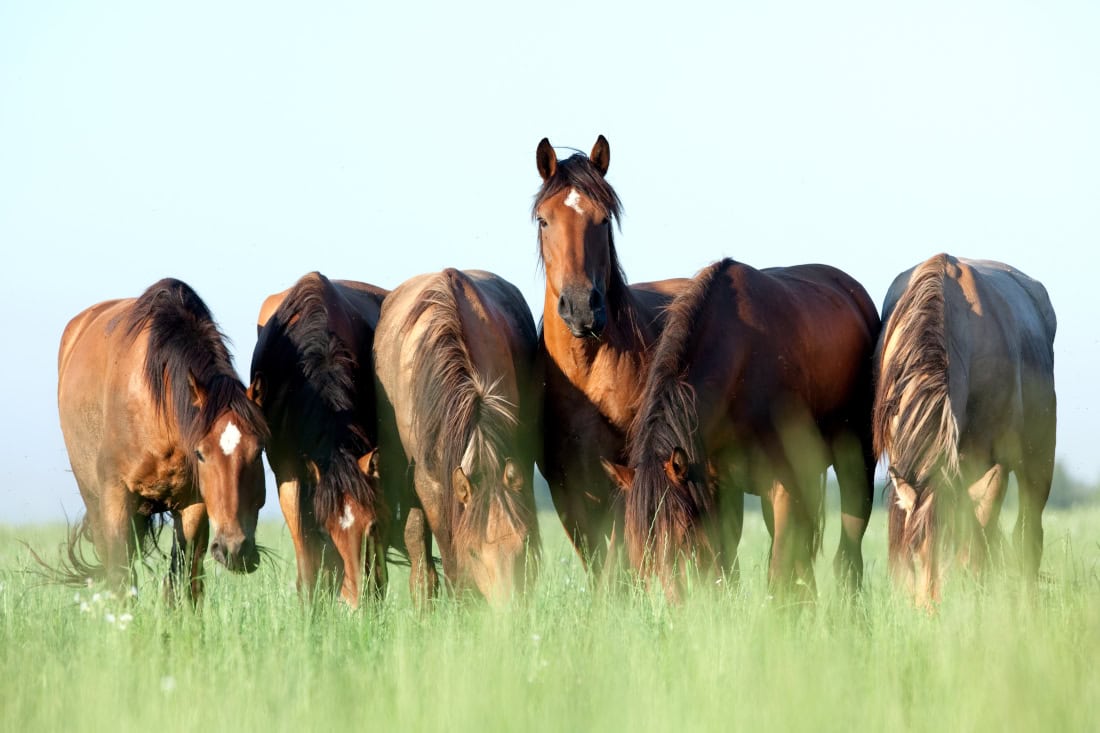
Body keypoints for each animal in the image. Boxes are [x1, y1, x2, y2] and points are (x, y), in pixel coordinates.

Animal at [56, 278, 268, 602]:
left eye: (258, 452)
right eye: (201, 453)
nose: (234, 549)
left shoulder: (194, 504)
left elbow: (182, 579)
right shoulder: (116, 495)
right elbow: (120, 575)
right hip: (93, 498)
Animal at [533, 135, 690, 578]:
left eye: (603, 220)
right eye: (543, 220)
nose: (582, 308)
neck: (587, 372)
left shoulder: (624, 475)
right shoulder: (566, 487)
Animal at [604, 258, 880, 603]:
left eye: (683, 535)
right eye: (638, 544)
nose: (675, 607)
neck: (740, 363)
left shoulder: (783, 486)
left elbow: (778, 573)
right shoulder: (717, 488)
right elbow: (726, 568)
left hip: (856, 466)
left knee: (848, 551)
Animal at [873, 254, 1057, 607]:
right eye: (916, 551)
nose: (932, 612)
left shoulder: (994, 466)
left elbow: (979, 542)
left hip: (1039, 460)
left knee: (1028, 537)